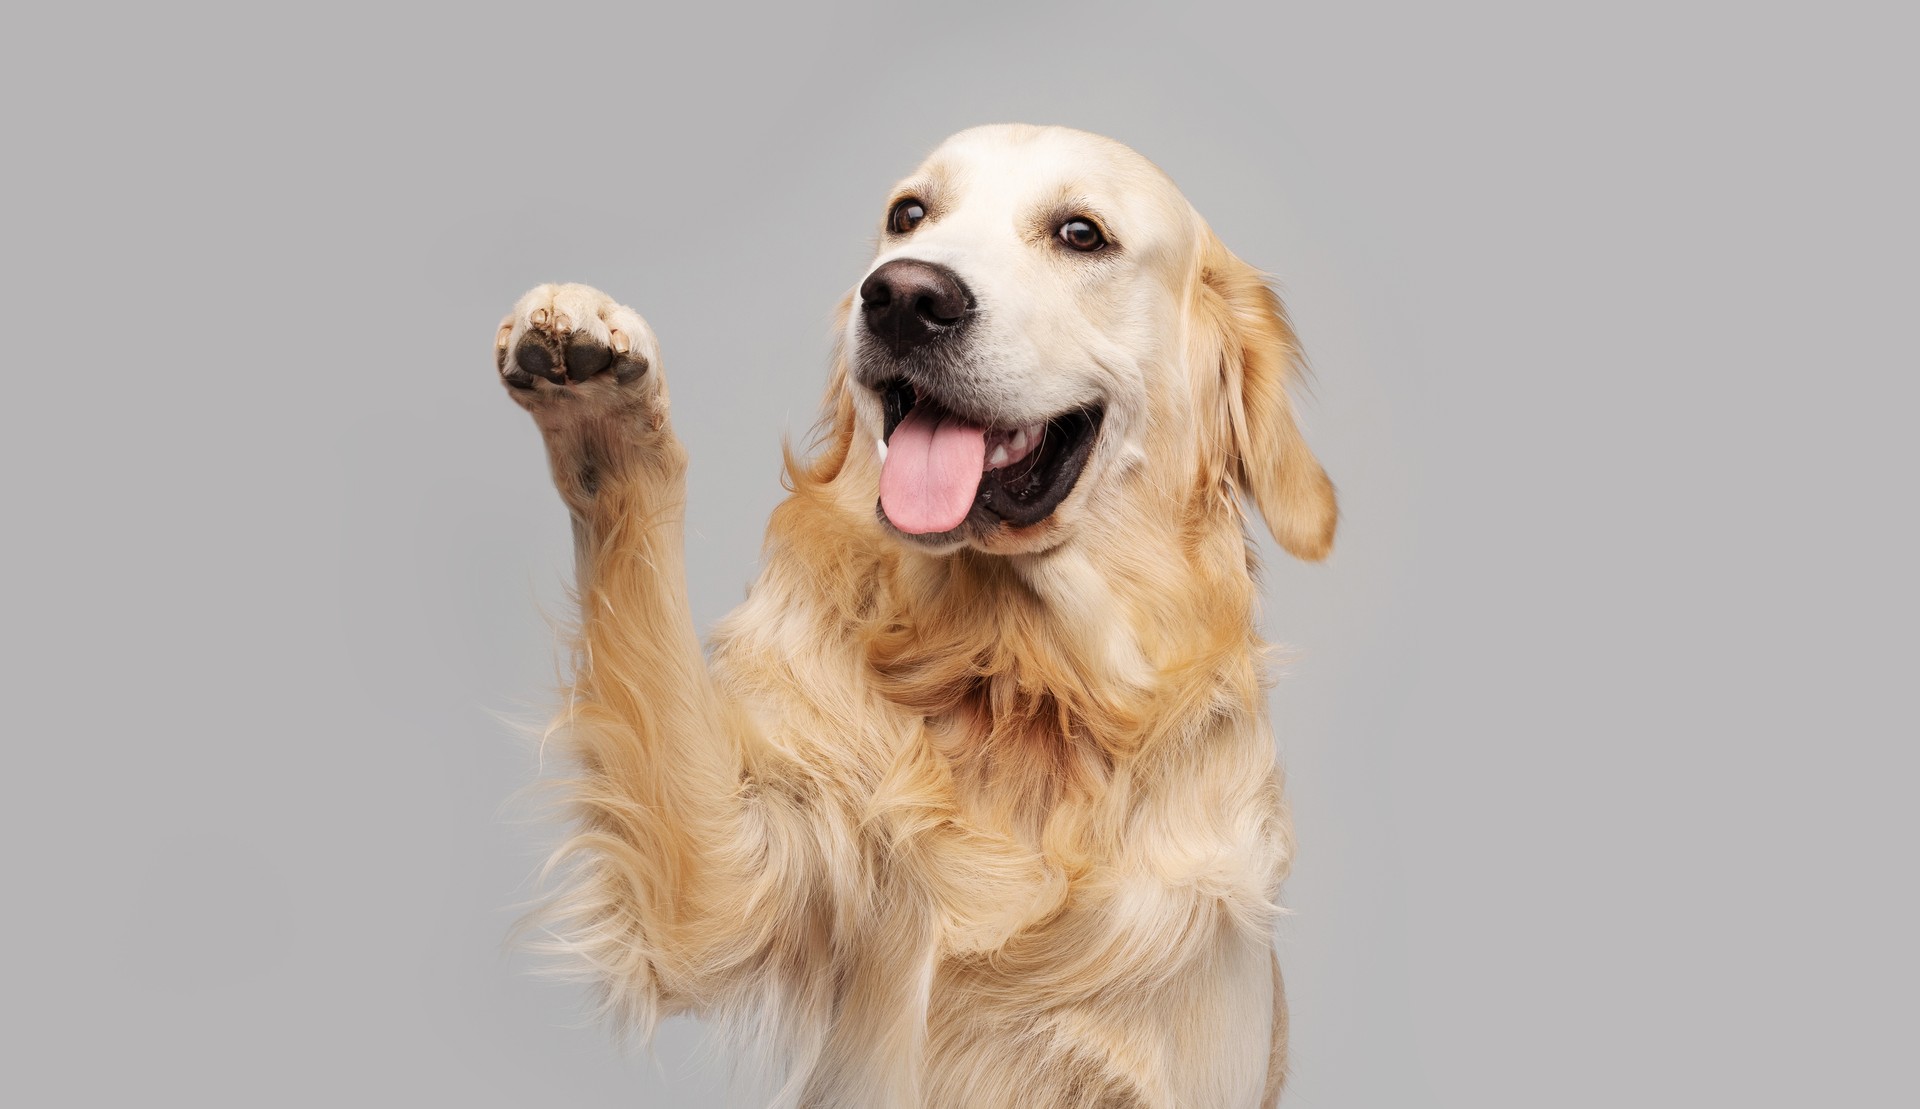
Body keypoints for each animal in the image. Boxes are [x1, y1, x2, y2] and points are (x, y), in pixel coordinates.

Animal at [491, 124, 1336, 1097]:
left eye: (1081, 234)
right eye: (908, 215)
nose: (902, 296)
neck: (1019, 679)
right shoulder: (727, 884)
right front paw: (600, 402)